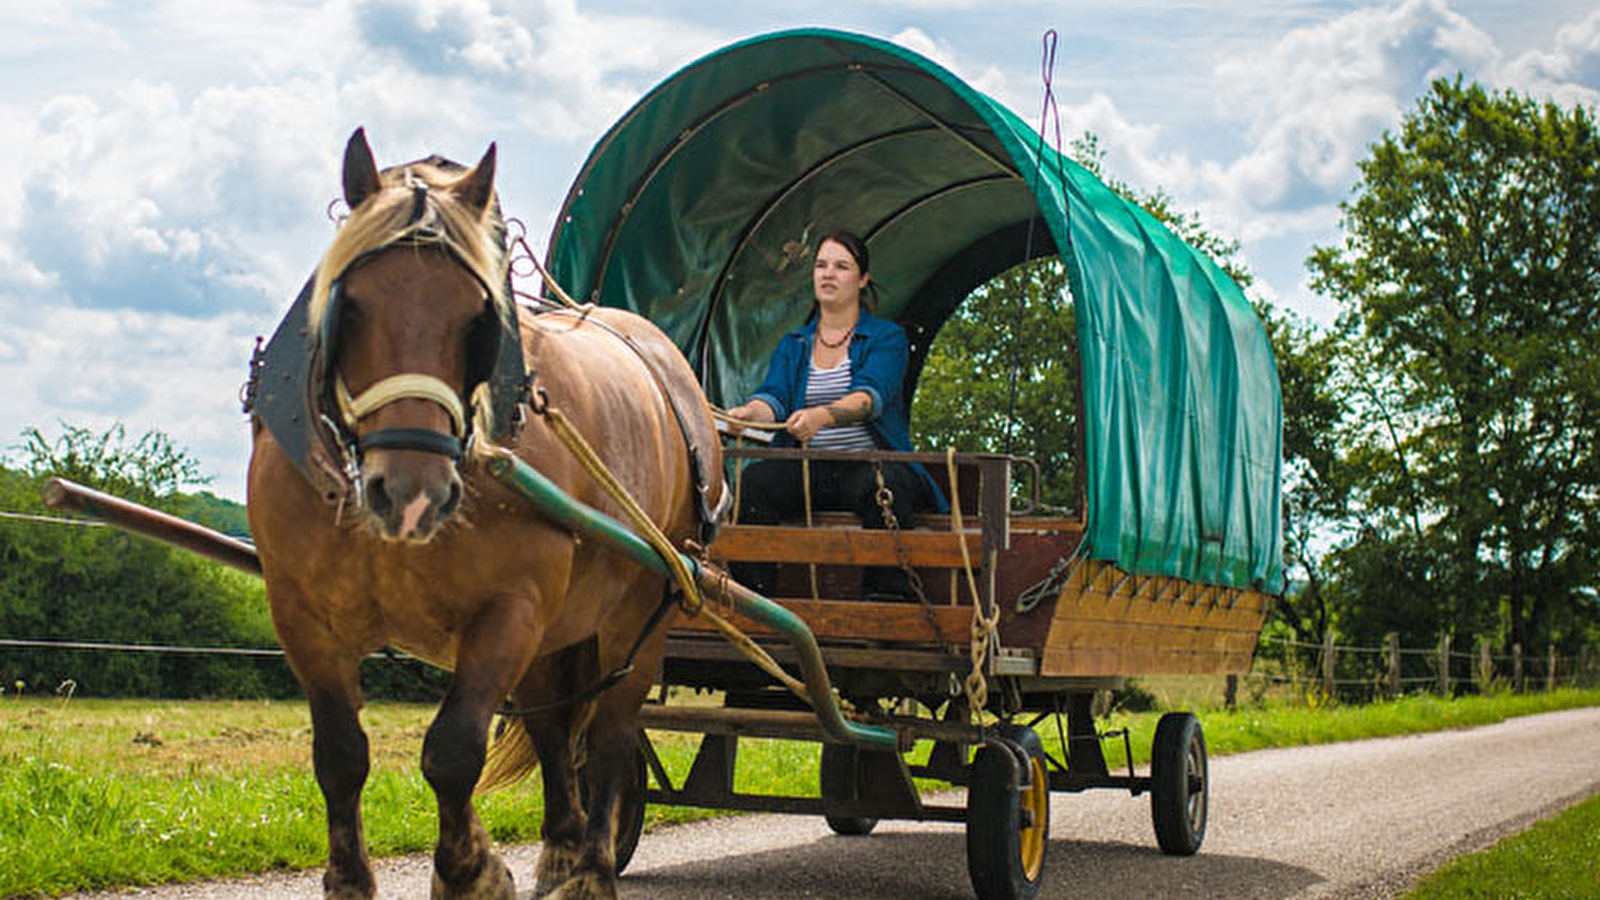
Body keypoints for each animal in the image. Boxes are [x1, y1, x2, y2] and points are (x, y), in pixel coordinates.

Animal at [246, 128, 723, 896]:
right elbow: (341, 755)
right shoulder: (301, 614)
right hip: (558, 632)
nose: (410, 492)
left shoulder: (509, 609)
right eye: (350, 306)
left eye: (479, 319)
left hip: (642, 610)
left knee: (612, 733)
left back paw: (593, 865)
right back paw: (561, 848)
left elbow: (453, 749)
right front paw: (351, 878)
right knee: (556, 727)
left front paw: (471, 869)